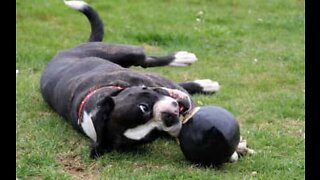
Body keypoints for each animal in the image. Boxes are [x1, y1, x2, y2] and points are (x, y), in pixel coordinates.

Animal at [40, 0, 220, 158]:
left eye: (143, 107)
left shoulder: (155, 81)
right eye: (154, 133)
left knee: (146, 60)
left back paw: (183, 59)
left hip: (128, 53)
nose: (168, 118)